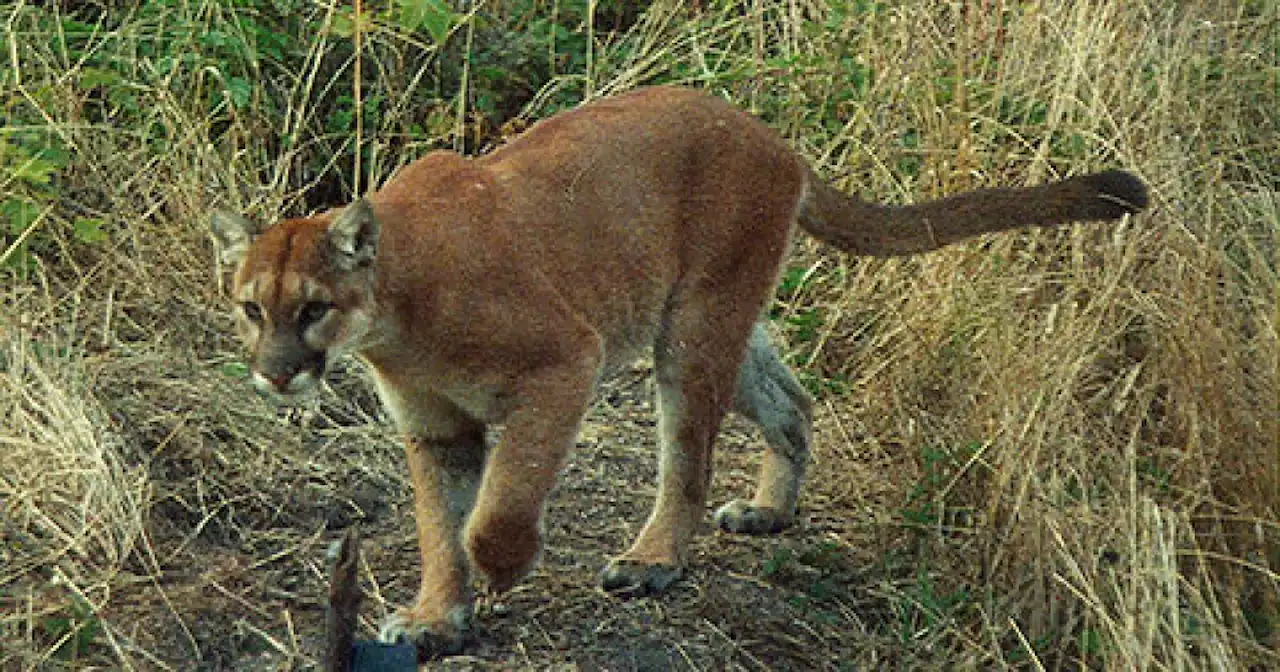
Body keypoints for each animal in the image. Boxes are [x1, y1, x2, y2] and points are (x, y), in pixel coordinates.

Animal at [212, 83, 1152, 655]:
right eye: (252, 308)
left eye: (312, 308)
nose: (276, 374)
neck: (396, 313)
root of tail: (775, 140)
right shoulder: (434, 428)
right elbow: (437, 527)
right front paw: (439, 617)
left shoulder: (565, 362)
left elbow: (494, 511)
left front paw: (503, 570)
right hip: (719, 320)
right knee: (791, 401)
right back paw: (770, 511)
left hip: (691, 332)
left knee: (688, 465)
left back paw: (654, 559)